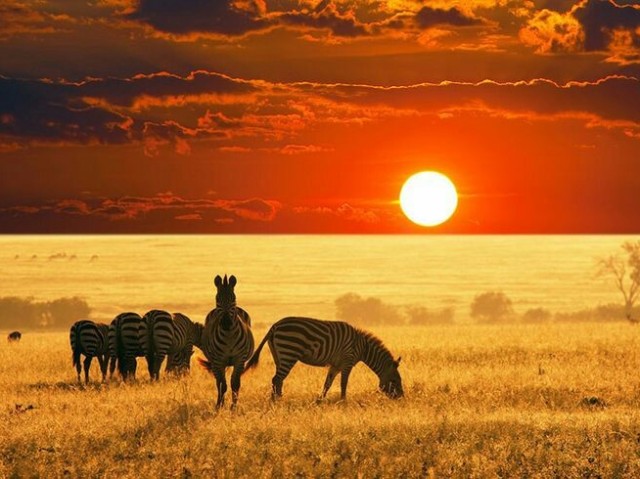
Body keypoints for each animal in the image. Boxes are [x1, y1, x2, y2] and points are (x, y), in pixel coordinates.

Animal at [202, 276, 258, 410]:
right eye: (217, 299)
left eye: (233, 299)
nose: (226, 322)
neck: (229, 336)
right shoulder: (218, 361)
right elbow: (223, 385)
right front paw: (220, 406)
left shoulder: (240, 359)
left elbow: (235, 384)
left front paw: (233, 407)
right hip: (215, 362)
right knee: (218, 383)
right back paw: (219, 403)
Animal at [246, 318, 404, 402]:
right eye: (395, 380)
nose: (401, 398)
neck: (363, 347)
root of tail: (275, 325)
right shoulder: (347, 361)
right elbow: (343, 383)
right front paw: (343, 401)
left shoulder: (335, 365)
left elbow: (327, 383)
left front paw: (320, 401)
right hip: (289, 352)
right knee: (276, 379)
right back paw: (275, 402)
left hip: (279, 356)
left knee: (278, 380)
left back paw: (279, 399)